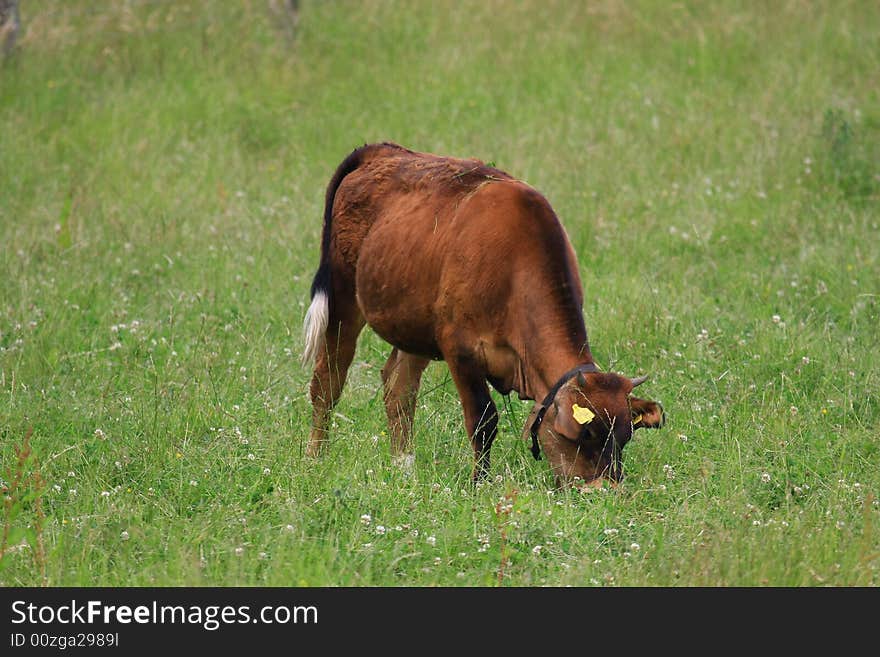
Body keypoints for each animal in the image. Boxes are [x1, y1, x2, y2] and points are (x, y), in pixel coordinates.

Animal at [300, 141, 660, 484]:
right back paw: (316, 458)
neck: (515, 269)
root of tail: (382, 150)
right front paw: (480, 482)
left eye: (625, 437)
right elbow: (483, 420)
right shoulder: (459, 349)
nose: (605, 489)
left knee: (398, 388)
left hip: (414, 323)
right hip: (342, 297)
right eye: (584, 434)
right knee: (328, 380)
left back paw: (404, 466)